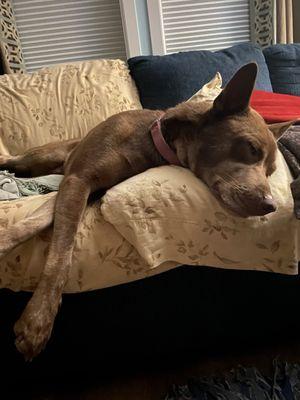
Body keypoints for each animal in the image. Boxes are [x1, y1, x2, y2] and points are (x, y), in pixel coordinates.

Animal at [0, 61, 292, 360]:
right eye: (251, 148)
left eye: (271, 171)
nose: (271, 206)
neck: (153, 142)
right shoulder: (78, 179)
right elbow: (63, 249)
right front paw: (38, 321)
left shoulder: (81, 188)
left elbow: (38, 222)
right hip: (38, 157)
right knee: (11, 160)